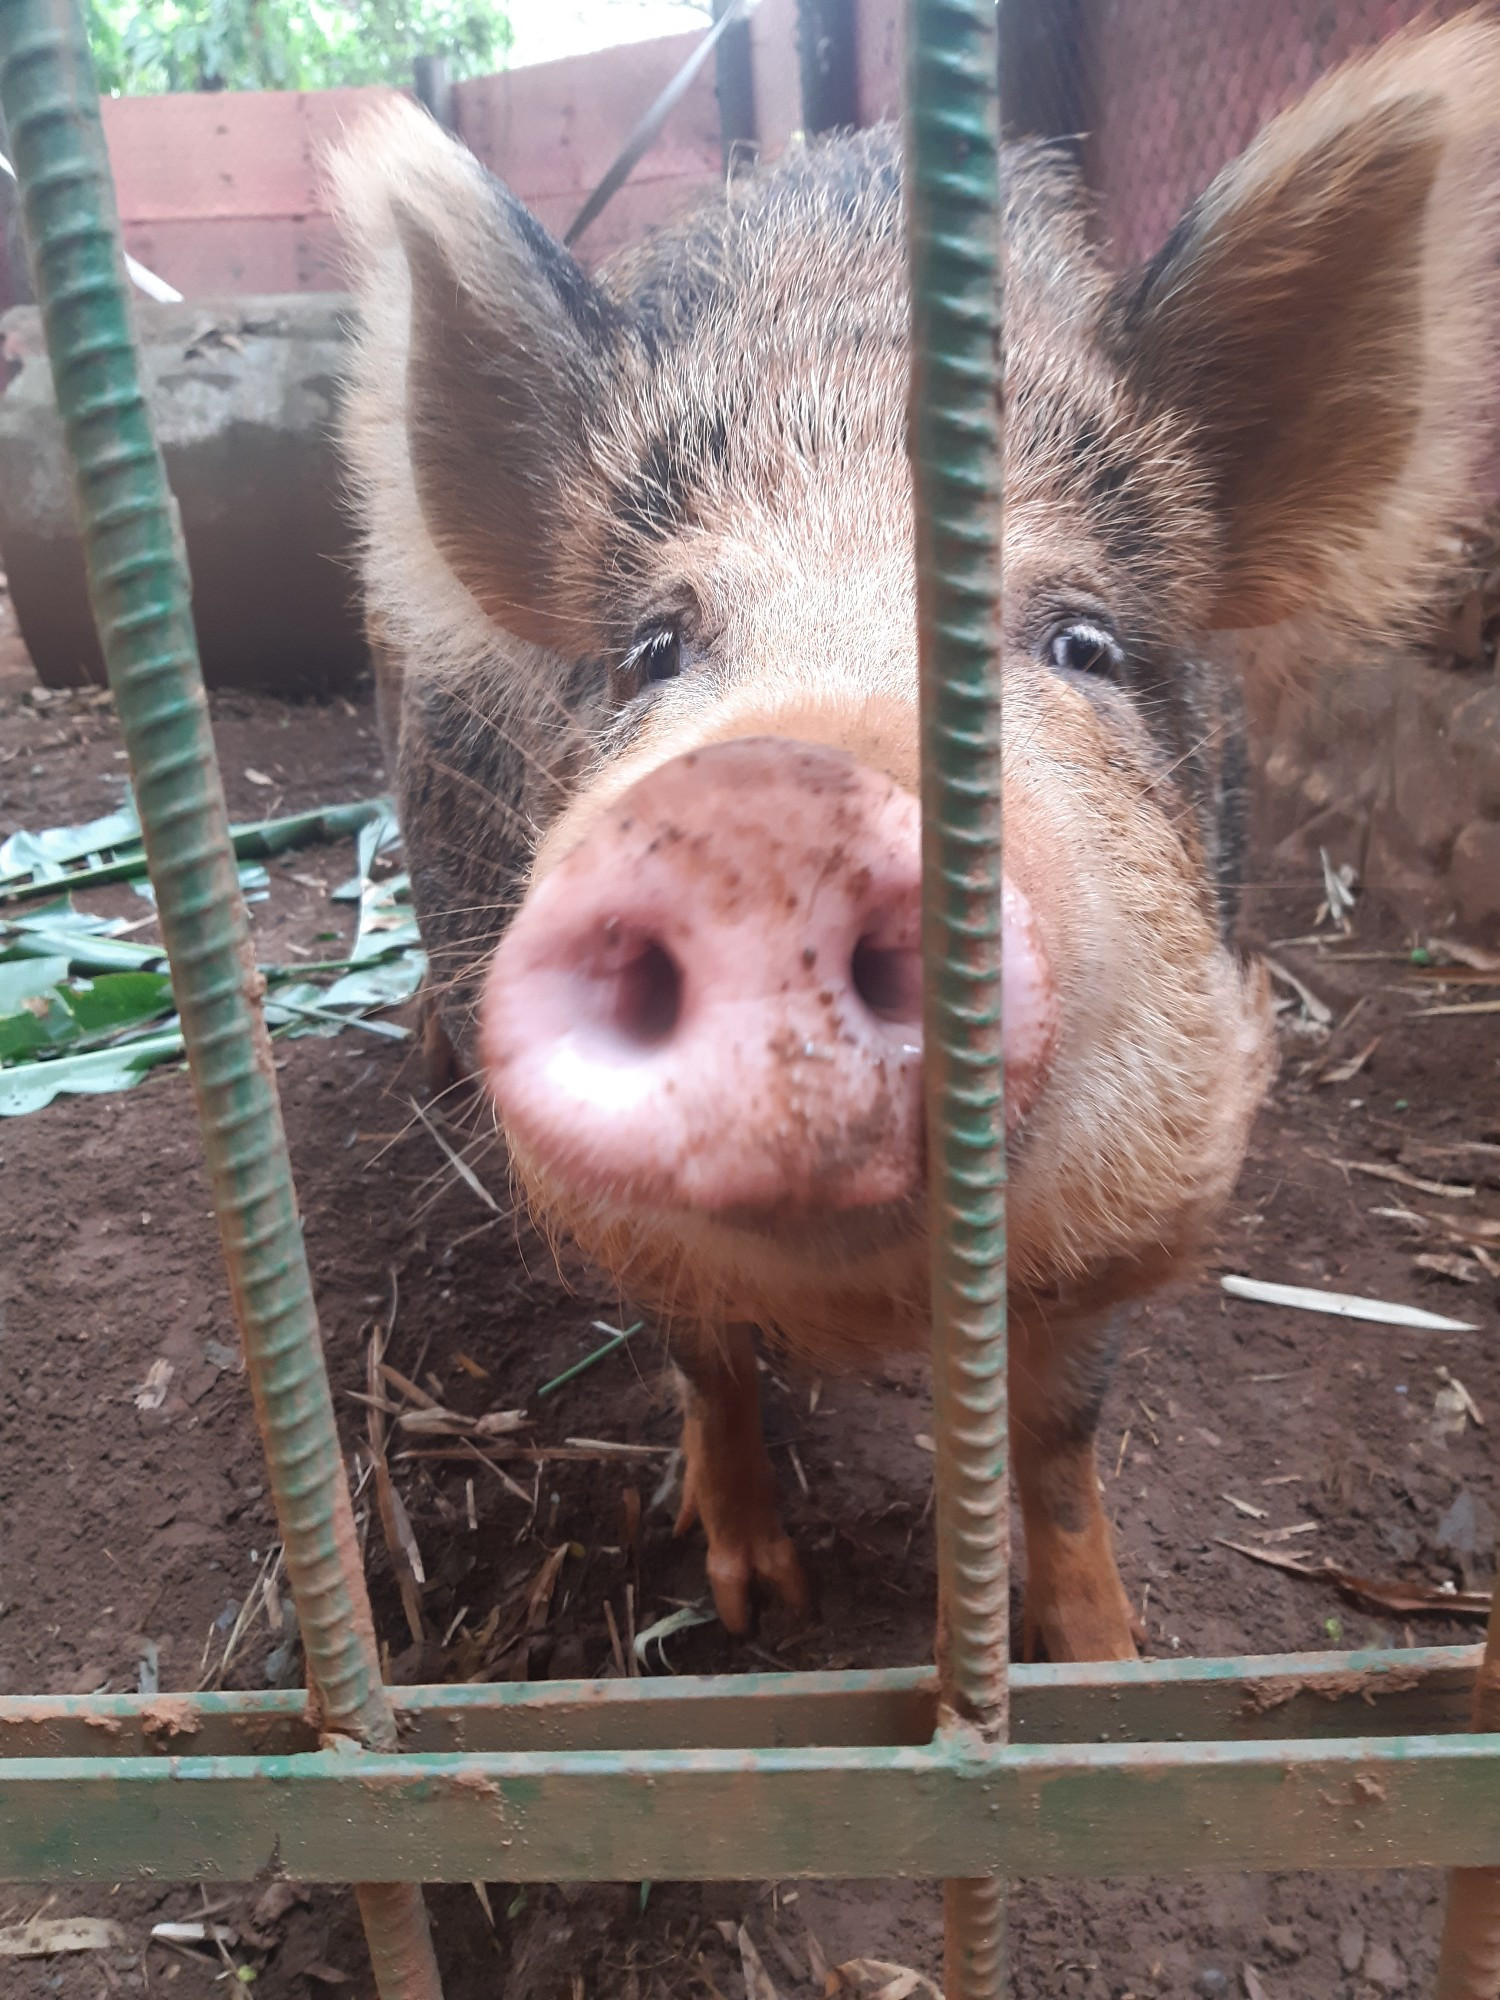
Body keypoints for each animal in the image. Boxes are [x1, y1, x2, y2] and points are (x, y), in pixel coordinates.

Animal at [332, 19, 1500, 1656]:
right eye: (651, 648)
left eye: (1083, 641)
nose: (768, 808)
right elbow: (705, 1361)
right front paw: (757, 1601)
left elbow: (1062, 1438)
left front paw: (1107, 1655)